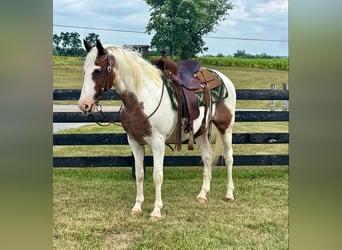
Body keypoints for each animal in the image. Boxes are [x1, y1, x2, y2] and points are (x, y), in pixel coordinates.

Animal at [78, 39, 236, 221]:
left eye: (98, 70)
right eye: (85, 70)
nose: (84, 105)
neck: (142, 98)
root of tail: (222, 77)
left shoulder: (157, 143)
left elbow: (157, 176)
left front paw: (156, 211)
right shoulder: (134, 142)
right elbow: (140, 174)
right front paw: (137, 207)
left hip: (226, 127)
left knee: (229, 158)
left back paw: (229, 194)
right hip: (200, 132)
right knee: (208, 158)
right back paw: (202, 195)